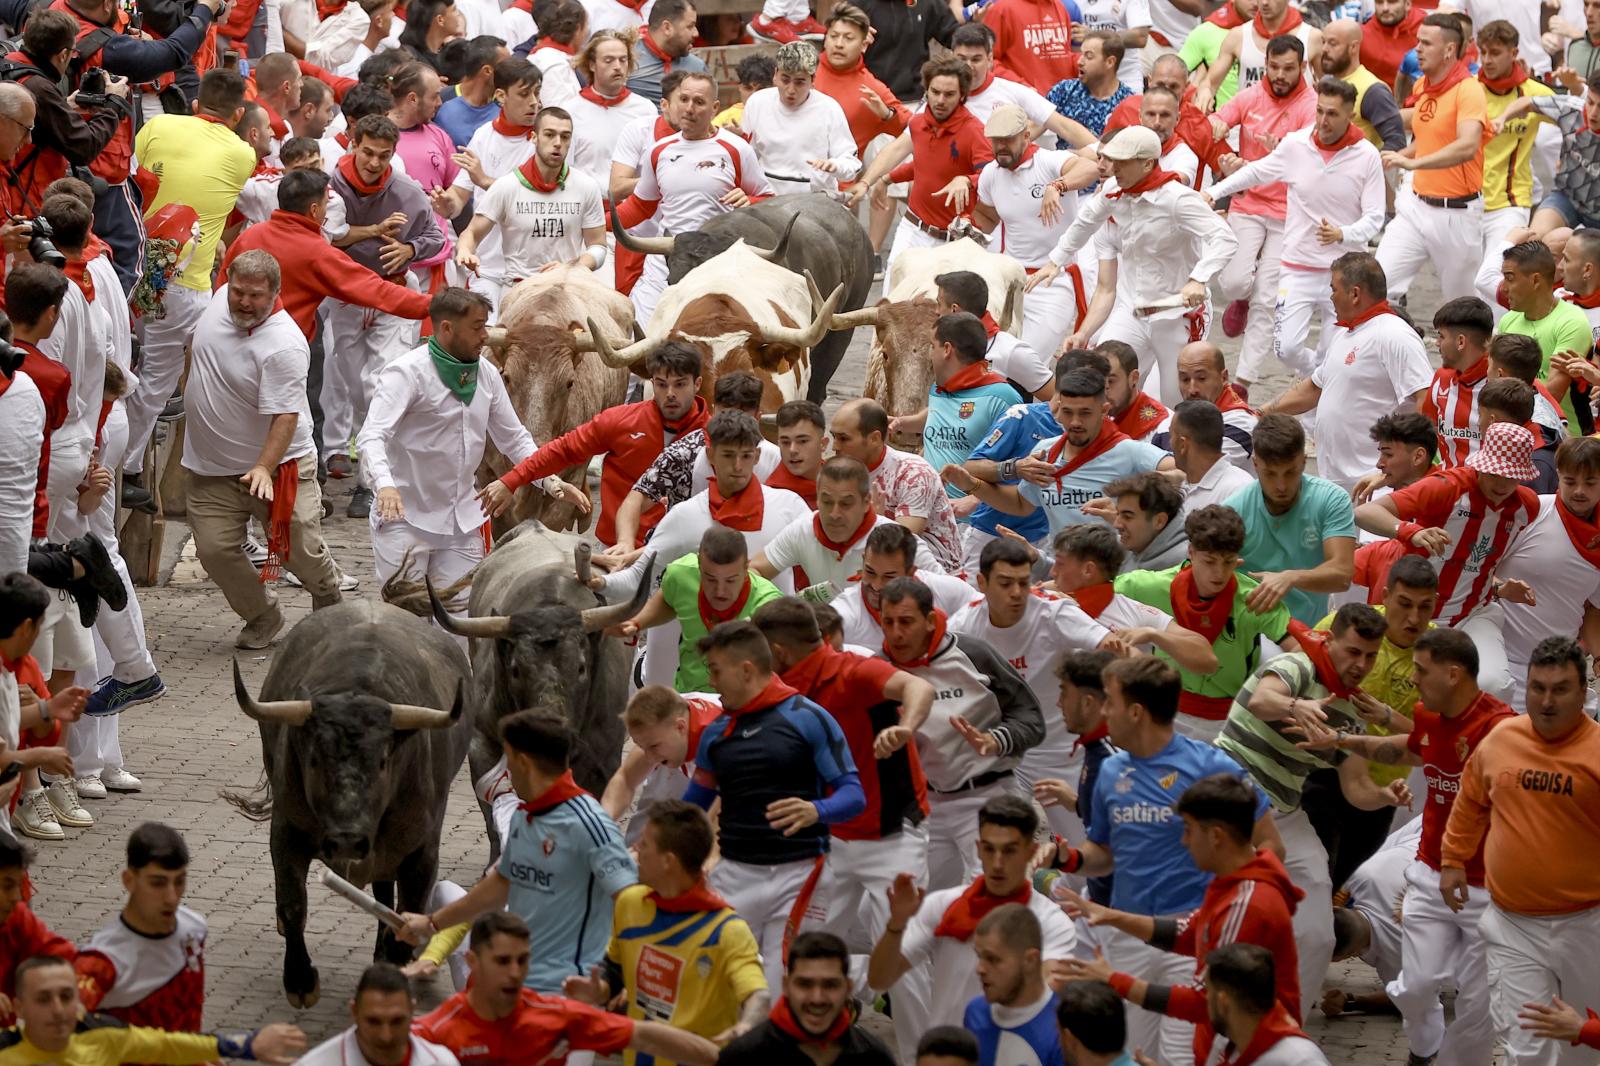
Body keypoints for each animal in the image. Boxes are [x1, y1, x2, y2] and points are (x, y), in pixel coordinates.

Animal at [227, 601, 473, 1011]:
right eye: (314, 759)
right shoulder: (286, 833)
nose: (346, 840)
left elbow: (406, 916)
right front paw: (300, 980)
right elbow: (292, 903)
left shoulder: (421, 852)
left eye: (383, 761)